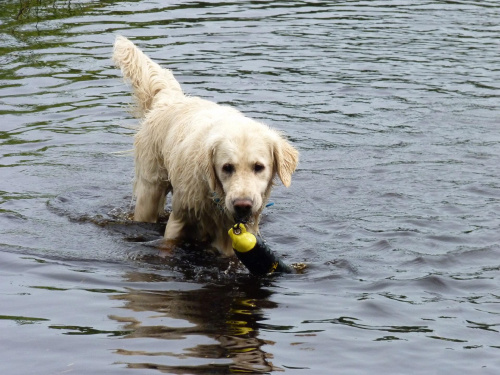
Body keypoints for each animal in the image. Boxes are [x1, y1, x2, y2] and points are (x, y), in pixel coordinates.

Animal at [113, 35, 298, 258]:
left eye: (259, 167)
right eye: (227, 167)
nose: (242, 205)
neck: (215, 197)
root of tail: (172, 99)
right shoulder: (178, 220)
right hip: (150, 189)